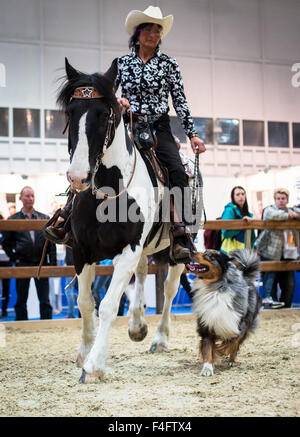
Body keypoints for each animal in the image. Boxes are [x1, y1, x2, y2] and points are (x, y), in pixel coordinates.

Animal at [59, 58, 202, 382]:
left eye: (104, 114)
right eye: (70, 112)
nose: (78, 177)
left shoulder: (128, 249)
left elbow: (109, 304)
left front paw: (94, 365)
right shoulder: (82, 251)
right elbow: (85, 302)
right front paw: (85, 351)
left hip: (176, 251)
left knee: (169, 290)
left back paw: (159, 338)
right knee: (142, 273)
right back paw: (138, 325)